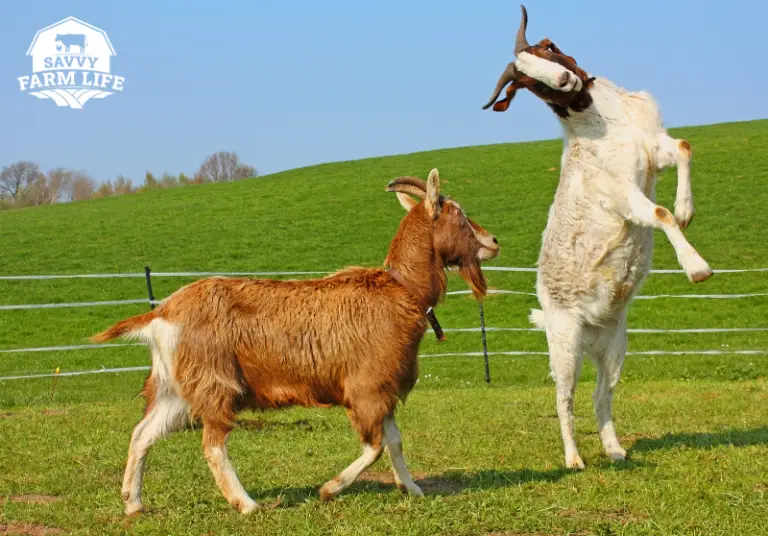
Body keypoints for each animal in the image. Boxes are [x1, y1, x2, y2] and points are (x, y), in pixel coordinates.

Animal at [91, 169, 500, 515]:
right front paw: (329, 489)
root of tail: (163, 313)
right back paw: (247, 504)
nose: (494, 241)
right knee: (212, 444)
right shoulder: (365, 387)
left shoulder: (385, 388)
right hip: (214, 381)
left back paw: (133, 504)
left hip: (174, 386)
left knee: (142, 433)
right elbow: (374, 446)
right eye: (459, 214)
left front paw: (412, 489)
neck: (401, 291)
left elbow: (395, 441)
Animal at [482, 6, 712, 469]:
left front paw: (686, 209)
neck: (603, 120)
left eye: (547, 48)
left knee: (601, 394)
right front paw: (697, 268)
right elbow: (657, 214)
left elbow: (683, 147)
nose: (564, 81)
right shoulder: (621, 194)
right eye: (527, 82)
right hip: (564, 344)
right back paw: (574, 458)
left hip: (615, 343)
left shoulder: (652, 149)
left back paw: (615, 450)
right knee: (564, 398)